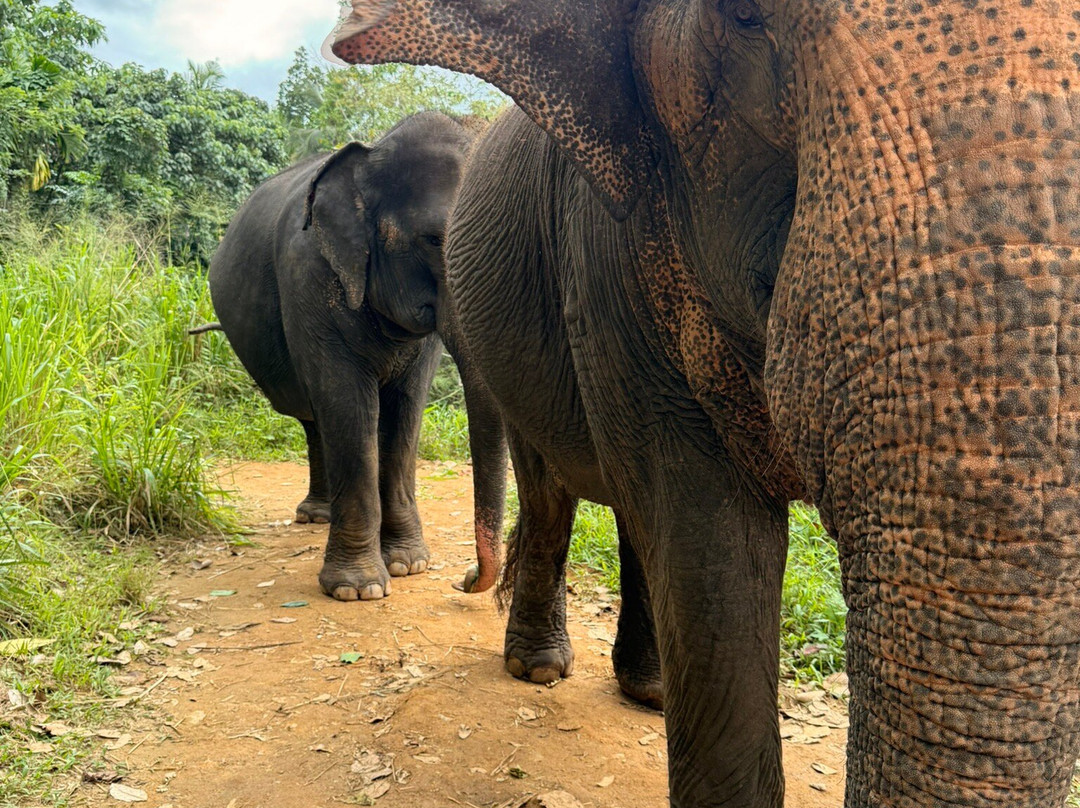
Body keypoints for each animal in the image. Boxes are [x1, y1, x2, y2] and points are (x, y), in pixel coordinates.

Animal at [209, 111, 506, 603]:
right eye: (433, 240)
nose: (463, 579)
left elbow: (405, 410)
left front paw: (408, 565)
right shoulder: (310, 277)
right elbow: (349, 403)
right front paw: (358, 589)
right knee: (315, 415)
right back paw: (315, 516)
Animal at [332, 2, 1080, 806]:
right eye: (747, 18)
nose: (459, 583)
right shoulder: (605, 248)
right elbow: (706, 526)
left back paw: (650, 690)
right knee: (557, 493)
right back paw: (539, 669)